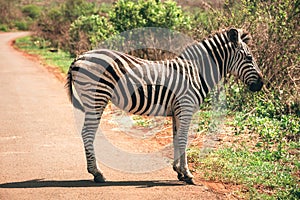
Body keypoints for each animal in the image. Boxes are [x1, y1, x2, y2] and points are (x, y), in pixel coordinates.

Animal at [65, 27, 262, 184]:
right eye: (249, 58)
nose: (261, 84)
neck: (196, 73)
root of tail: (80, 57)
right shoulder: (186, 107)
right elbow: (183, 140)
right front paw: (188, 174)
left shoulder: (177, 111)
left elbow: (176, 138)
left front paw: (179, 171)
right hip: (97, 97)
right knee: (87, 133)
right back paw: (97, 173)